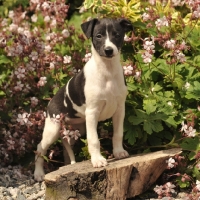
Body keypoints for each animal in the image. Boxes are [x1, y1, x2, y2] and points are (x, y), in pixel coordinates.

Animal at [34, 18, 133, 182]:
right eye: (98, 36)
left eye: (117, 35)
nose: (108, 50)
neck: (107, 71)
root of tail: (50, 102)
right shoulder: (92, 113)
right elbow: (94, 140)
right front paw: (98, 160)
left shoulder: (120, 110)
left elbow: (118, 134)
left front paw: (119, 152)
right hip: (52, 129)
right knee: (40, 148)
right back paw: (39, 173)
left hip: (77, 130)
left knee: (66, 147)